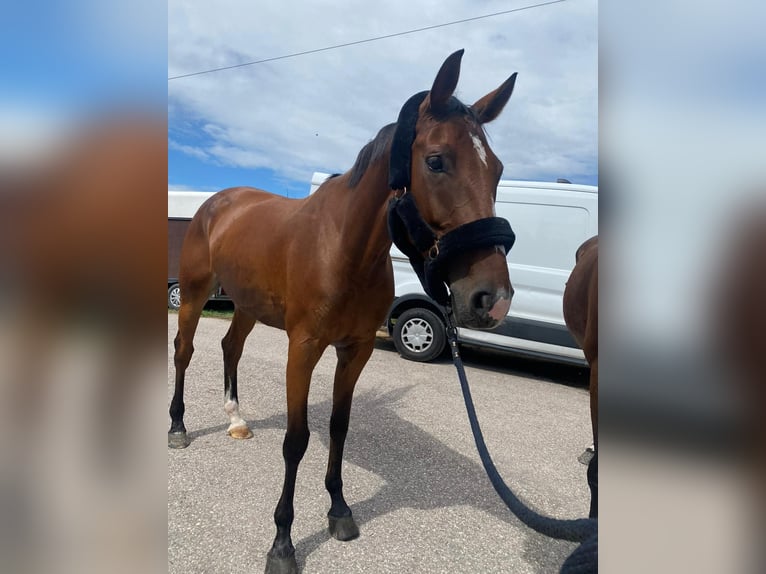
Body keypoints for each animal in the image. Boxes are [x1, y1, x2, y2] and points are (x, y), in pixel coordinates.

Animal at [169, 49, 518, 574]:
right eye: (436, 161)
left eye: (495, 169)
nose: (491, 299)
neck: (343, 248)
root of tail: (219, 202)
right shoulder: (303, 348)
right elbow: (296, 440)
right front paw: (283, 543)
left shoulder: (355, 351)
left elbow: (338, 426)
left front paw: (339, 510)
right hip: (192, 295)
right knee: (184, 351)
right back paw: (178, 426)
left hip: (247, 305)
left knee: (231, 346)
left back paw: (235, 419)